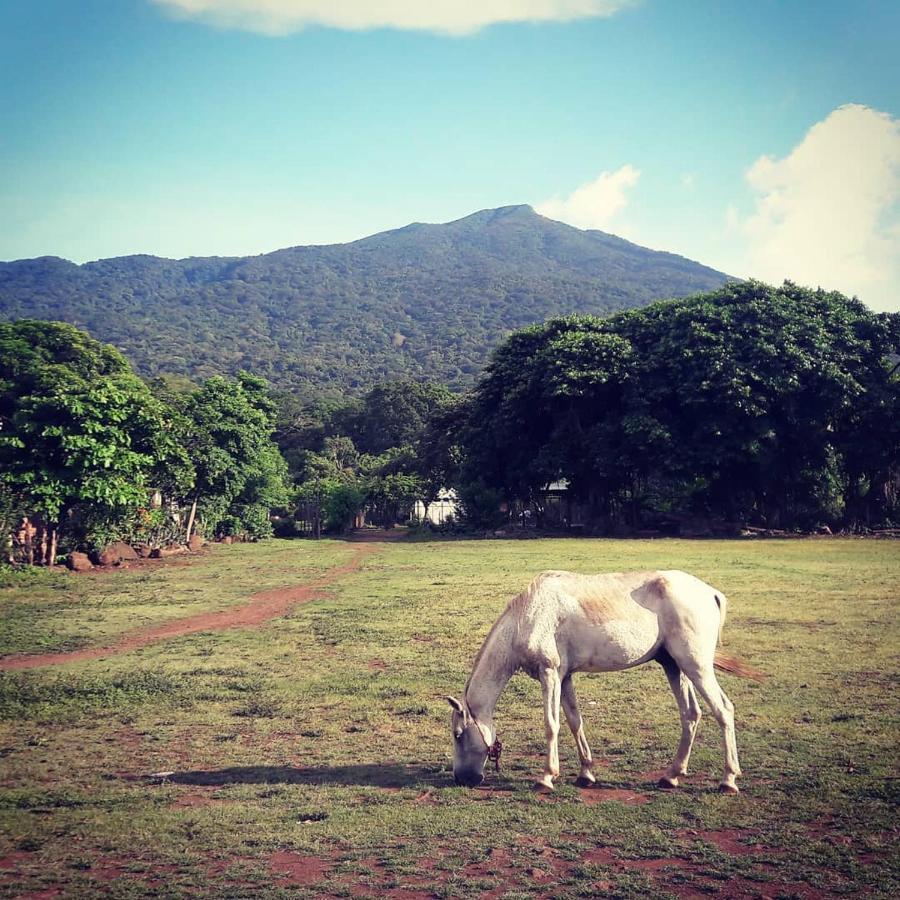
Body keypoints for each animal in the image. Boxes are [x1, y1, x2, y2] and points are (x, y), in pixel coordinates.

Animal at [446, 572, 756, 792]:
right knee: (691, 714)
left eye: (458, 734)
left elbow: (551, 724)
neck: (527, 616)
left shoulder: (549, 674)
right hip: (674, 667)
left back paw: (728, 780)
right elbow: (574, 722)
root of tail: (710, 593)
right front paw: (586, 773)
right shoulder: (564, 678)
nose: (461, 779)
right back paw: (671, 776)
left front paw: (547, 777)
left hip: (696, 666)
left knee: (723, 710)